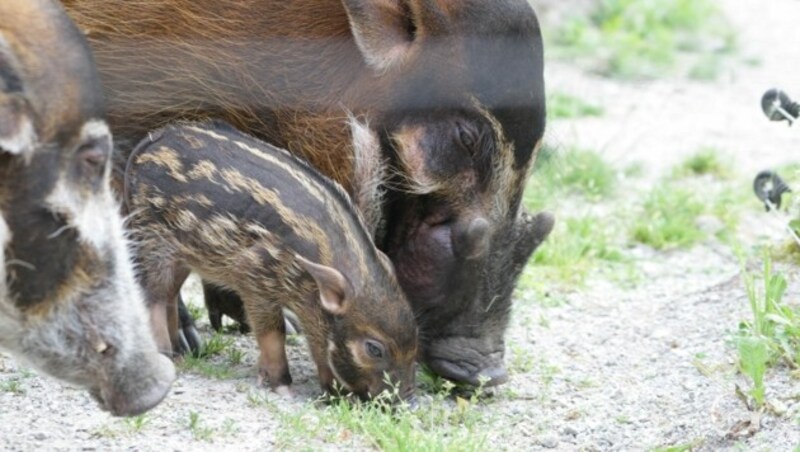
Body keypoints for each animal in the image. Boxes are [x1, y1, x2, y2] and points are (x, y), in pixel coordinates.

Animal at [125, 122, 418, 400]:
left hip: (182, 255)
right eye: (374, 349)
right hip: (153, 241)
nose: (408, 400)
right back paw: (167, 356)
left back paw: (180, 353)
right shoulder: (254, 276)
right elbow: (274, 333)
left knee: (170, 294)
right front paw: (283, 388)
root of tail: (146, 145)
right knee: (153, 294)